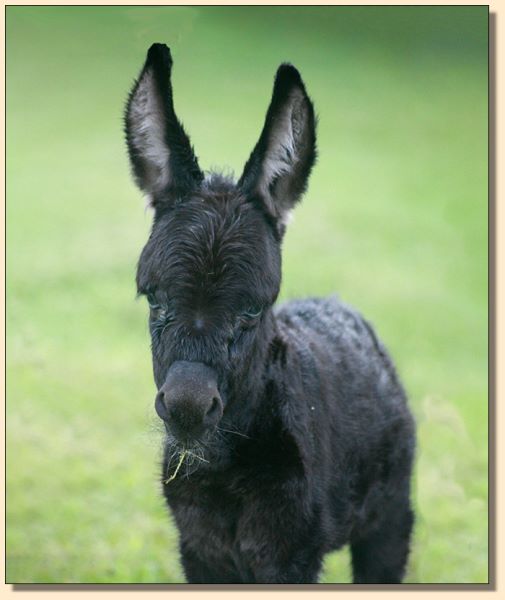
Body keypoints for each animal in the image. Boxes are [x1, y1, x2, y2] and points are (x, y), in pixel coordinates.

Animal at [124, 43, 416, 584]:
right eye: (153, 298)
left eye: (253, 309)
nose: (188, 407)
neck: (224, 477)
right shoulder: (200, 551)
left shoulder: (290, 558)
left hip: (389, 520)